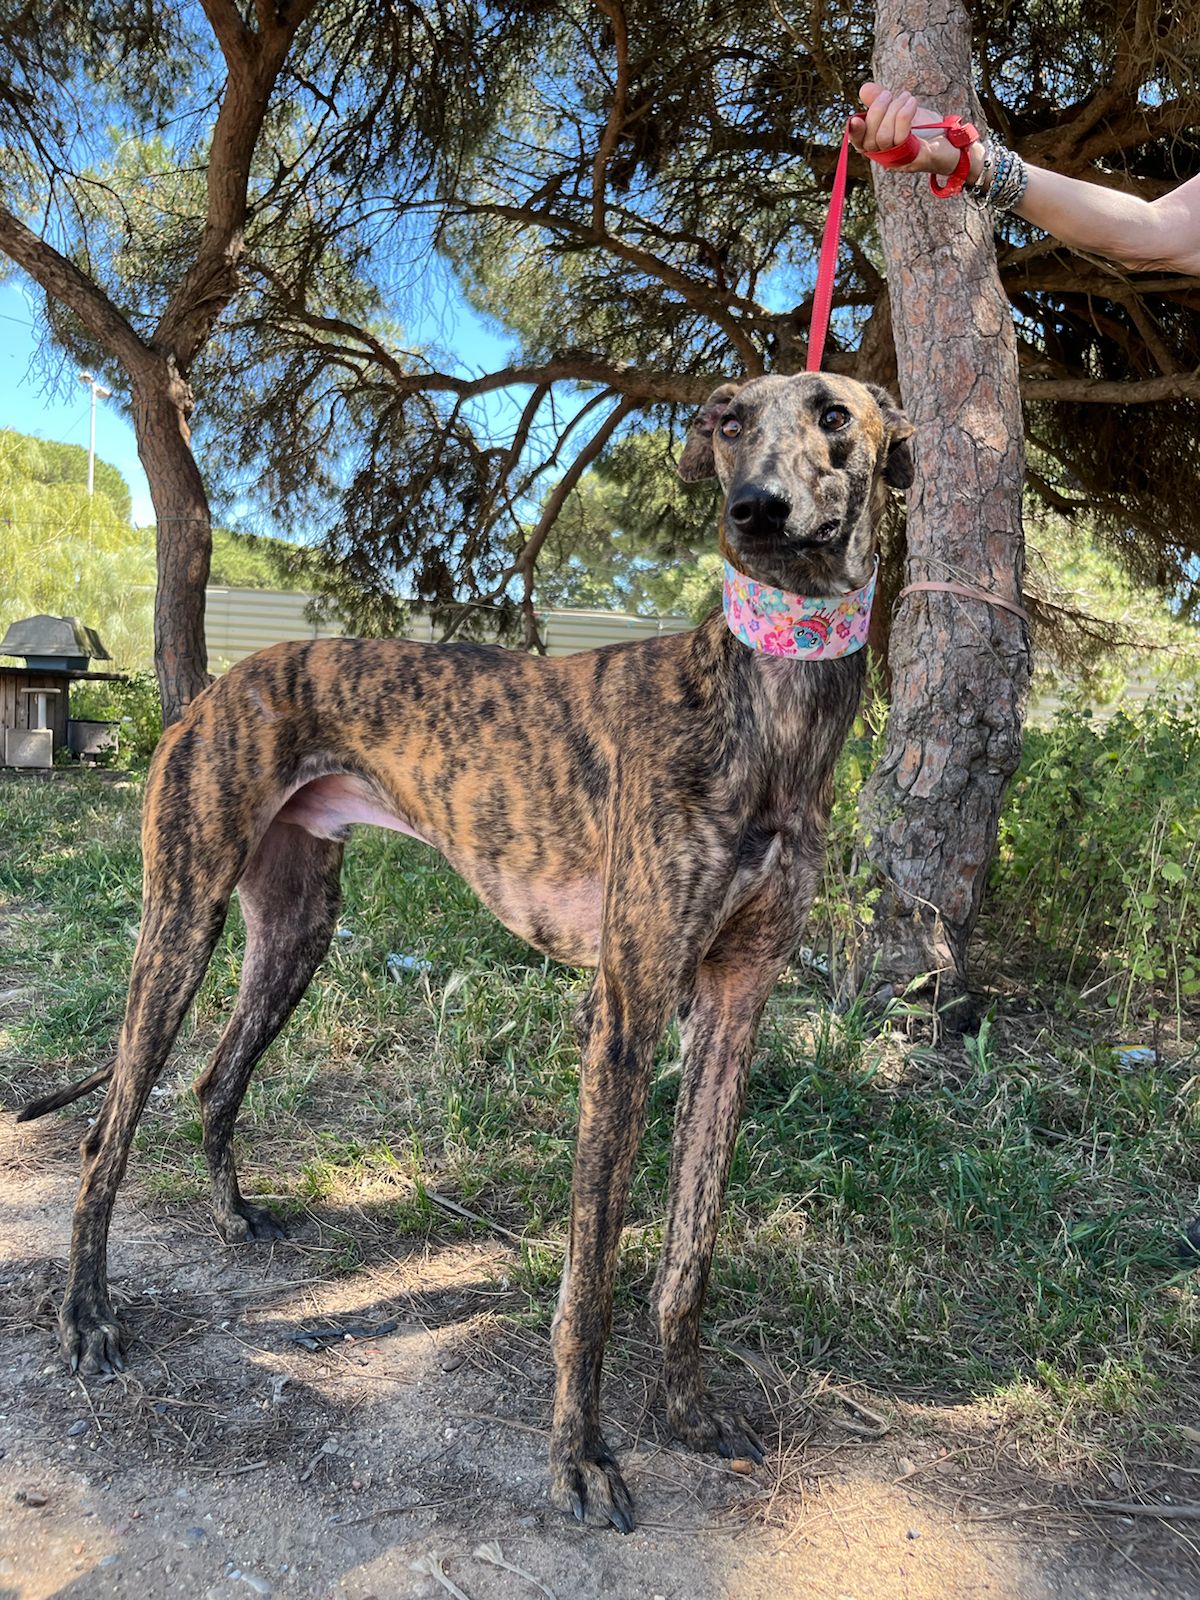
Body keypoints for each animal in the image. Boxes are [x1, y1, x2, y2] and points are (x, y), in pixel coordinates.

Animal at [21, 371, 913, 1532]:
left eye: (835, 416)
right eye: (727, 421)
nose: (753, 510)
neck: (763, 704)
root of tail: (222, 683)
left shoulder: (734, 1006)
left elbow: (691, 1253)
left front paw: (686, 1410)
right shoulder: (625, 1012)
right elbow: (590, 1279)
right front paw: (580, 1456)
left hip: (296, 928)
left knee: (216, 1080)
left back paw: (233, 1218)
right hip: (182, 916)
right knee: (106, 1135)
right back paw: (86, 1315)